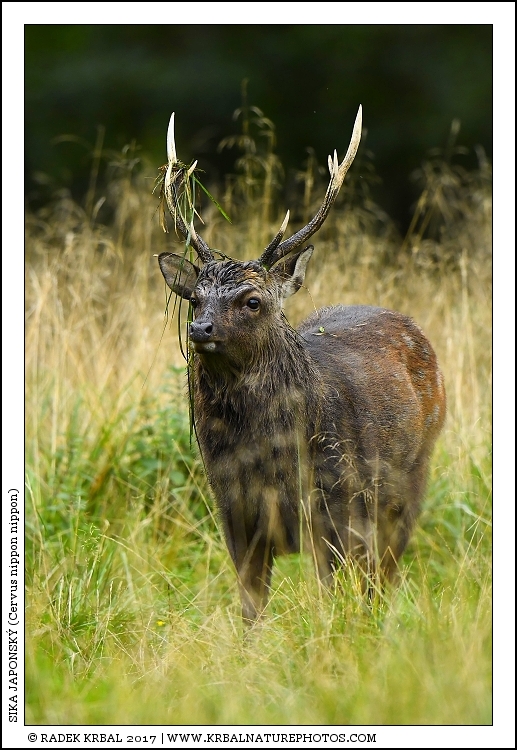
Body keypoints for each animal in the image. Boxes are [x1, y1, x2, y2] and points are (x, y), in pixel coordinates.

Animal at [156, 107, 446, 624]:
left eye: (252, 300)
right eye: (194, 298)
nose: (199, 329)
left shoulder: (337, 506)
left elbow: (334, 598)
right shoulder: (234, 512)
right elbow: (251, 609)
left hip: (410, 478)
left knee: (384, 577)